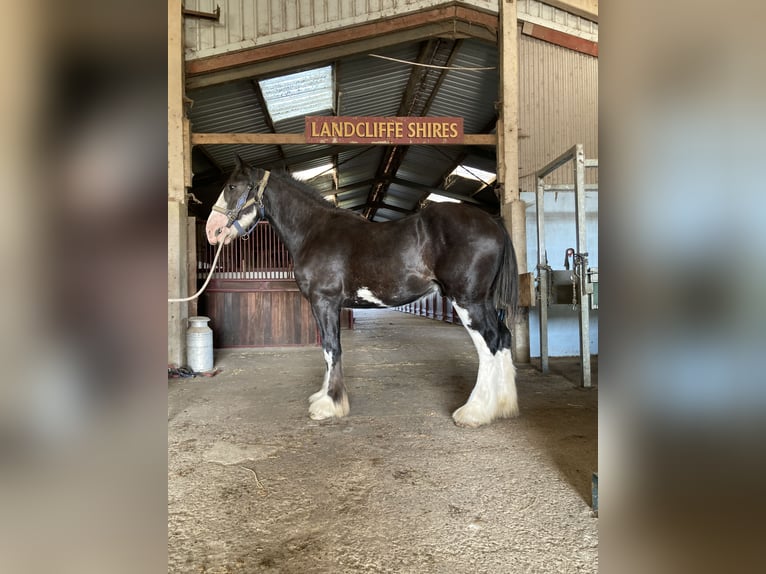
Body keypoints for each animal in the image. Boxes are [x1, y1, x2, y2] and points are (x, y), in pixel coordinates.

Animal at [207, 156, 520, 428]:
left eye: (232, 187)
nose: (212, 232)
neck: (313, 231)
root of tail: (492, 221)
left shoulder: (325, 302)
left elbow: (332, 348)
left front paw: (329, 405)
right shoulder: (323, 305)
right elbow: (327, 348)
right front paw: (323, 396)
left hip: (467, 300)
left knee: (489, 342)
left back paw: (474, 412)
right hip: (483, 301)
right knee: (503, 337)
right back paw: (503, 406)